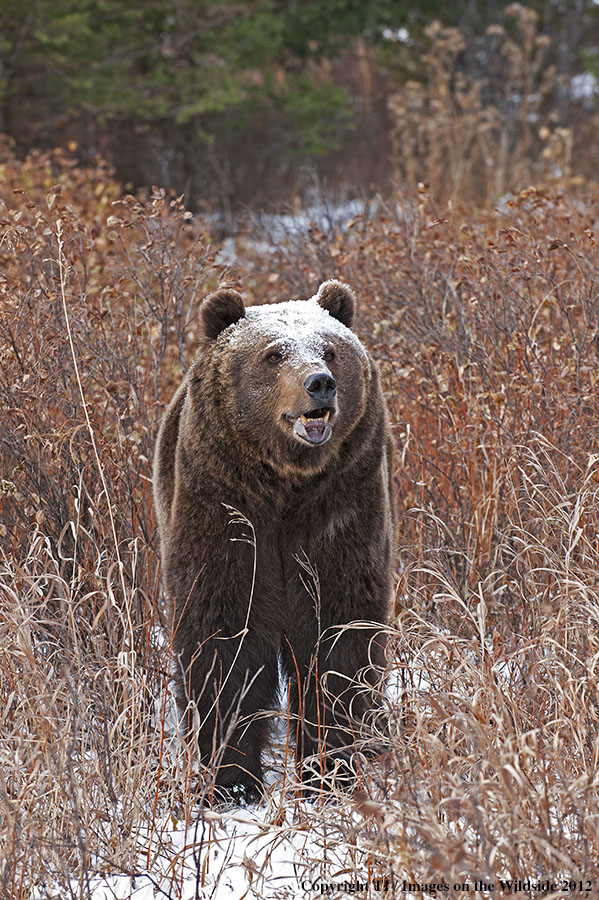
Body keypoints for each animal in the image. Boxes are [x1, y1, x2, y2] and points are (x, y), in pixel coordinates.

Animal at [154, 282, 394, 800]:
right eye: (273, 353)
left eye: (330, 349)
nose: (320, 382)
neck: (286, 483)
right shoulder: (227, 509)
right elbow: (226, 635)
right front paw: (233, 782)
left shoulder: (340, 510)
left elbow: (337, 633)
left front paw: (328, 768)